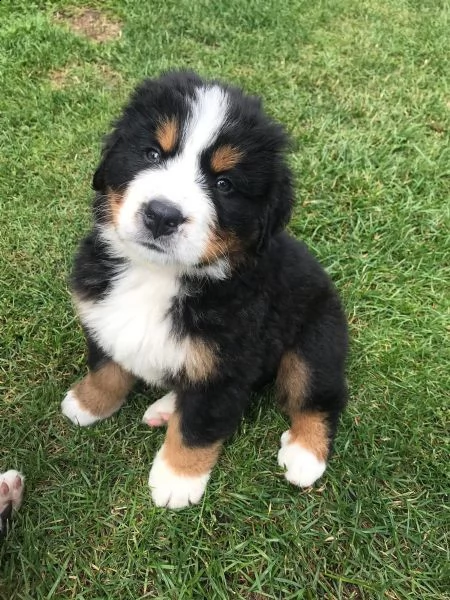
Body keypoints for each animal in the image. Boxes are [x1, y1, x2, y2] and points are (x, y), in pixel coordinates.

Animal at [60, 72, 348, 508]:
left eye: (224, 183)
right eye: (151, 153)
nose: (162, 215)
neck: (159, 275)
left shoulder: (227, 364)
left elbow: (198, 426)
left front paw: (177, 481)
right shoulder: (102, 318)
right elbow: (107, 368)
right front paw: (88, 403)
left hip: (316, 339)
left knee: (319, 397)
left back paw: (305, 454)